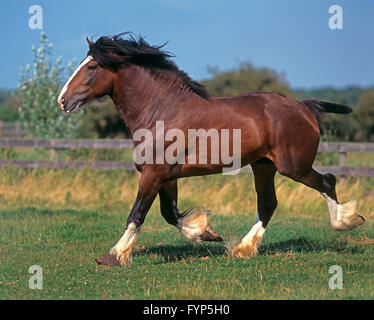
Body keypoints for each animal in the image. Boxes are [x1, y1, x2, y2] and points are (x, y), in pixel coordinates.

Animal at [57, 33, 366, 266]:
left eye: (92, 67)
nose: (62, 100)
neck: (161, 110)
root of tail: (304, 107)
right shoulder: (166, 177)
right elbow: (170, 213)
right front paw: (206, 233)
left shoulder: (153, 174)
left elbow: (137, 214)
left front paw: (114, 256)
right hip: (263, 166)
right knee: (268, 203)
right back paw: (243, 249)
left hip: (293, 166)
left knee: (327, 181)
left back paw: (346, 222)